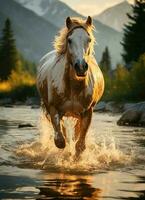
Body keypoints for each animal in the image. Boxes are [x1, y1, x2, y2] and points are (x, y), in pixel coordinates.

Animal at [36, 16, 104, 159]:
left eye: (89, 39)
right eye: (69, 40)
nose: (81, 67)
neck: (73, 88)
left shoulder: (87, 112)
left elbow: (80, 145)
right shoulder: (54, 109)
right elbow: (61, 140)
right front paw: (66, 154)